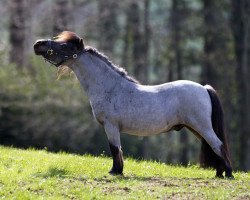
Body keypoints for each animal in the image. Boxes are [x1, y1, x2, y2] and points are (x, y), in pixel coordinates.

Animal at [34, 30, 233, 178]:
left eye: (64, 45)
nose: (38, 44)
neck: (109, 87)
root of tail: (204, 88)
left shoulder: (111, 126)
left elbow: (115, 149)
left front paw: (115, 172)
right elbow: (118, 150)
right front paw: (118, 171)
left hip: (201, 126)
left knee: (218, 145)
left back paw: (228, 174)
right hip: (196, 128)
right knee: (214, 146)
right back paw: (219, 173)